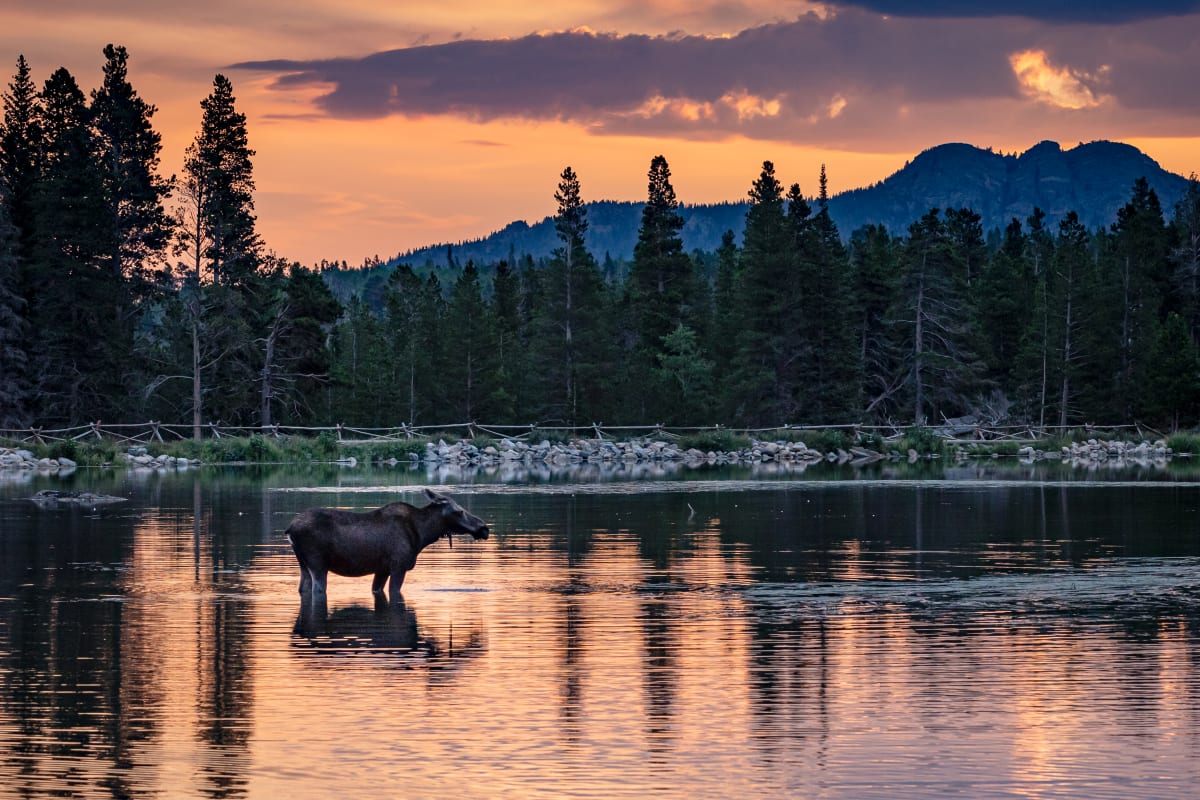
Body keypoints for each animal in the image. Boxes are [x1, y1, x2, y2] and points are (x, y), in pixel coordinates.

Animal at [284, 491, 487, 604]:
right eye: (459, 511)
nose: (484, 528)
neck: (423, 534)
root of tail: (290, 529)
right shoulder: (398, 566)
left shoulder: (381, 569)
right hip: (317, 564)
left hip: (303, 564)